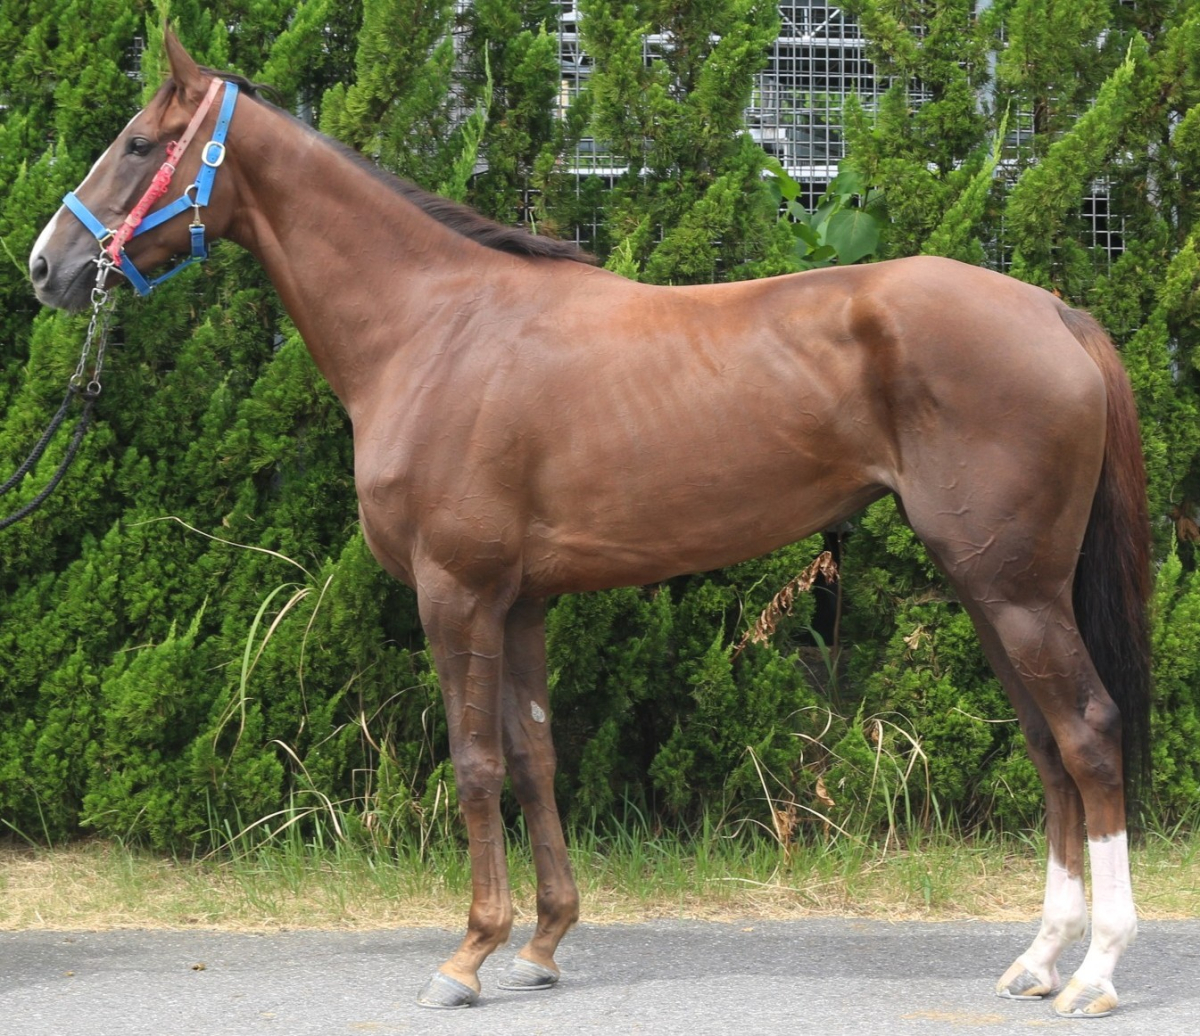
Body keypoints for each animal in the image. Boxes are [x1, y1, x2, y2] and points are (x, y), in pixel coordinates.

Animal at [29, 32, 1151, 1017]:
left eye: (140, 143)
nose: (47, 265)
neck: (434, 327)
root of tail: (1056, 311)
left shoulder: (457, 593)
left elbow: (476, 764)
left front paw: (468, 955)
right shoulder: (520, 603)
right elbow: (534, 759)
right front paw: (543, 942)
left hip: (1013, 588)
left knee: (1089, 734)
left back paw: (1096, 972)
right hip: (989, 583)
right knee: (1047, 744)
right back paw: (1039, 959)